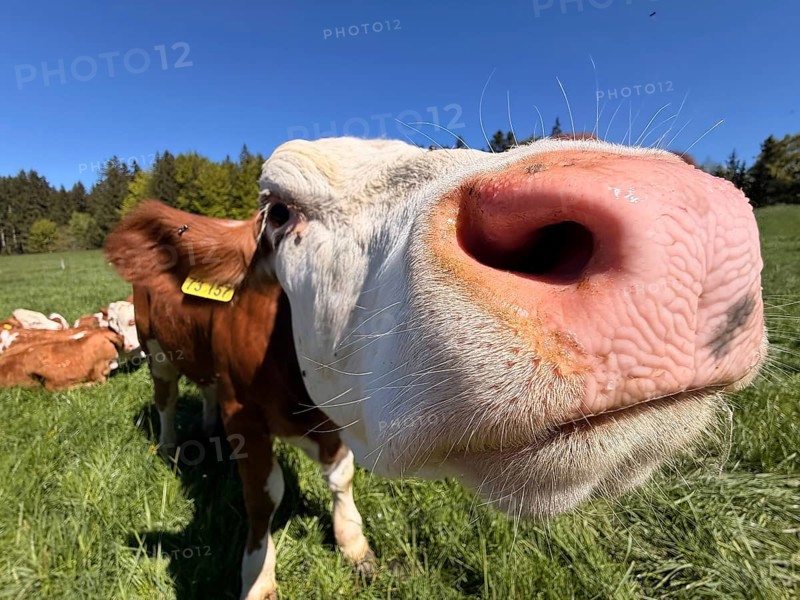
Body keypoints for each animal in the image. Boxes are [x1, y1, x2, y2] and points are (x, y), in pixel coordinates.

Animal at [104, 202, 373, 600]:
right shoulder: (245, 417)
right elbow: (264, 496)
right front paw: (258, 578)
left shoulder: (334, 418)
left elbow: (341, 475)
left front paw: (353, 543)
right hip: (156, 346)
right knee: (166, 398)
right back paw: (169, 445)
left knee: (207, 389)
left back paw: (209, 428)